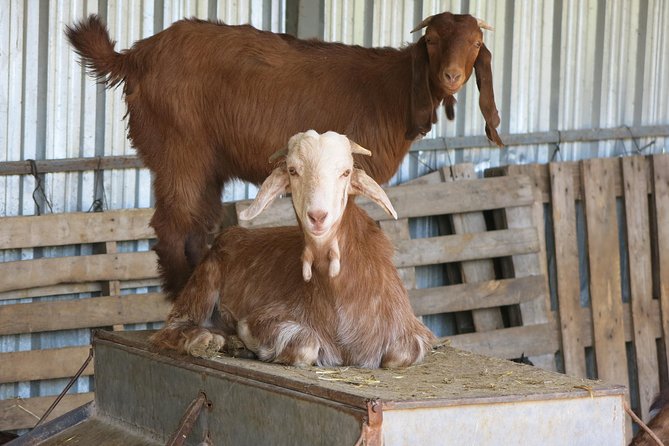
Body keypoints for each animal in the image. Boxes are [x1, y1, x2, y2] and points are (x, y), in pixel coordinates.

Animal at [68, 12, 504, 298]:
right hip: (181, 150)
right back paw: (180, 297)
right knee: (172, 223)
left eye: (475, 44)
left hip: (206, 164)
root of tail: (135, 56)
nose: (451, 76)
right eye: (431, 41)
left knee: (196, 225)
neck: (391, 90)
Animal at [149, 131, 436, 368]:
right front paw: (243, 340)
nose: (318, 216)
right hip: (203, 283)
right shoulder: (264, 318)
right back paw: (206, 341)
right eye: (292, 170)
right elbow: (305, 346)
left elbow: (401, 354)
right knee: (169, 329)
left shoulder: (413, 332)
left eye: (345, 172)